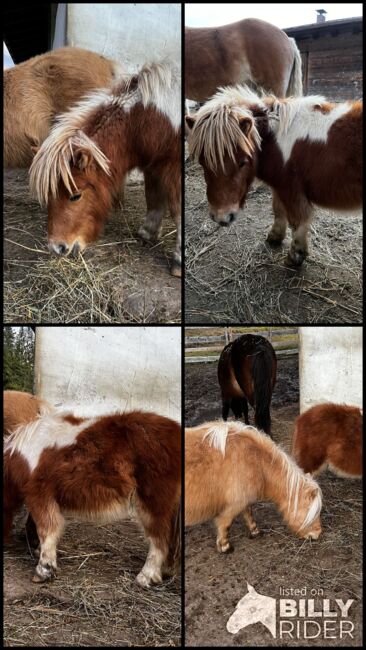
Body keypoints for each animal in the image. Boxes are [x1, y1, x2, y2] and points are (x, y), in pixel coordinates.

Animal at [3, 408, 181, 584]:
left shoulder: (39, 494)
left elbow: (47, 530)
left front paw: (44, 569)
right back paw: (165, 572)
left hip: (153, 503)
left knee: (159, 538)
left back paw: (146, 576)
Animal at [29, 60, 182, 274]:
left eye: (76, 196)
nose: (57, 248)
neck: (153, 119)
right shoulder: (153, 165)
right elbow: (153, 197)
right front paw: (147, 233)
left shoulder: (173, 168)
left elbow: (177, 210)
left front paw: (178, 260)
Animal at [186, 85, 364, 266]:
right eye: (202, 162)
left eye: (242, 161)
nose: (221, 217)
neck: (275, 140)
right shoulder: (279, 186)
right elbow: (278, 210)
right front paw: (275, 237)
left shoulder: (291, 190)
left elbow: (297, 221)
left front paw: (295, 256)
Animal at [186, 418, 324, 548]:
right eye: (311, 512)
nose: (317, 534)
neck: (255, 460)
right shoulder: (233, 504)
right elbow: (225, 524)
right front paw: (225, 546)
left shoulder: (244, 499)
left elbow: (248, 513)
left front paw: (255, 531)